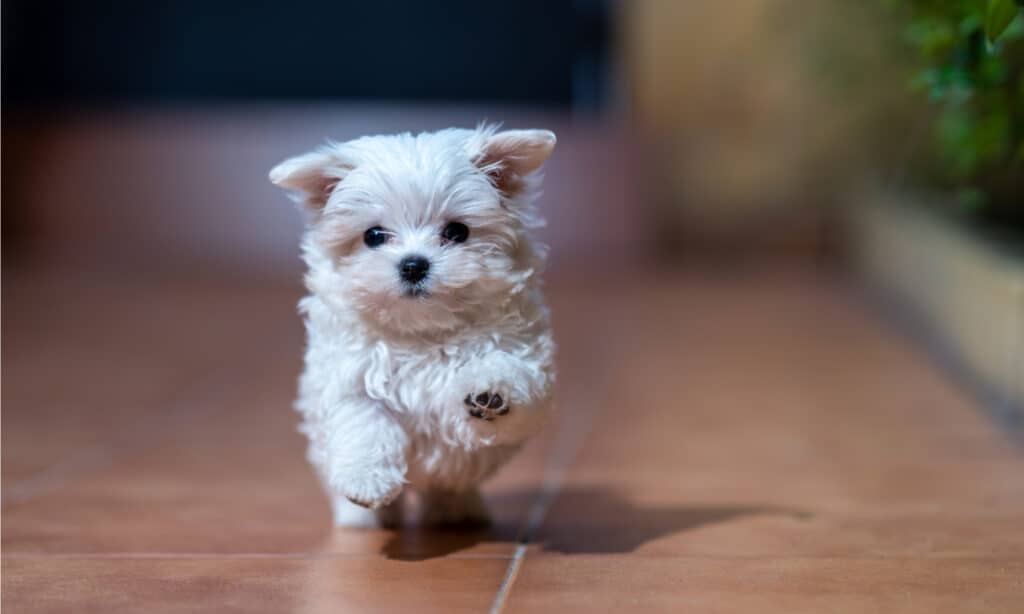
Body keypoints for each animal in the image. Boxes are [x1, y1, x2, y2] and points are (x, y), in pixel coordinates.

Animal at [268, 124, 557, 528]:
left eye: (457, 232)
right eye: (373, 236)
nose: (413, 264)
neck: (423, 331)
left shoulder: (523, 352)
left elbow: (505, 370)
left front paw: (489, 394)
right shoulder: (350, 376)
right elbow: (364, 422)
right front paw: (367, 481)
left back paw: (458, 511)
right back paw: (362, 520)